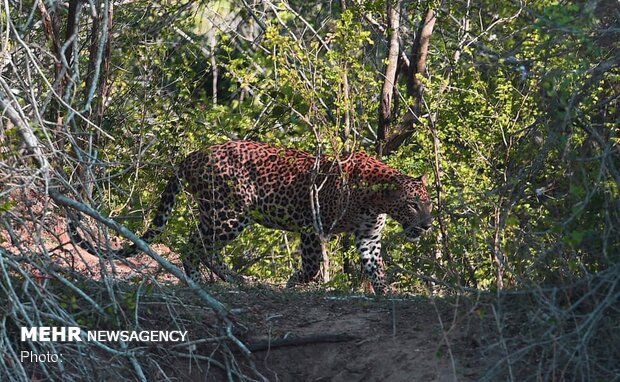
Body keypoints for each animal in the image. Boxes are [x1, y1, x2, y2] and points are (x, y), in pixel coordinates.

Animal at [118, 139, 434, 294]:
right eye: (413, 204)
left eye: (428, 204)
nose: (428, 225)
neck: (376, 199)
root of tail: (194, 155)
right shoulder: (311, 225)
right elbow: (311, 265)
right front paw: (294, 283)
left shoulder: (368, 236)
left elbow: (375, 267)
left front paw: (385, 293)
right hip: (230, 213)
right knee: (194, 244)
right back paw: (200, 279)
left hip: (217, 213)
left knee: (205, 246)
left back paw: (231, 279)